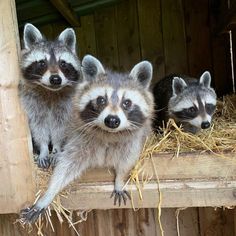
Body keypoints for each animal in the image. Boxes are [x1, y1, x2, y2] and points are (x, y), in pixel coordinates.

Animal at [18, 23, 81, 168]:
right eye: (42, 63)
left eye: (63, 63)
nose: (55, 79)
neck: (50, 91)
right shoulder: (33, 103)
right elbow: (38, 126)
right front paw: (43, 149)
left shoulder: (66, 105)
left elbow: (60, 128)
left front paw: (56, 149)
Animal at [19, 54, 153, 222]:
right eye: (101, 100)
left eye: (127, 103)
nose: (112, 120)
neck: (109, 133)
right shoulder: (80, 138)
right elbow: (66, 166)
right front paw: (49, 193)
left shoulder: (132, 142)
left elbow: (126, 161)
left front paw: (119, 180)